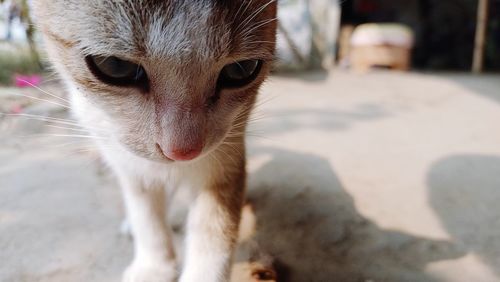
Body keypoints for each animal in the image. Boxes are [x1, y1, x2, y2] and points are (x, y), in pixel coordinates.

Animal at [33, 1, 278, 280]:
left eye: (242, 69)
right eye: (115, 65)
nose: (183, 150)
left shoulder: (225, 152)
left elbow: (213, 224)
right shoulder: (123, 156)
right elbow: (145, 211)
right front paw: (153, 266)